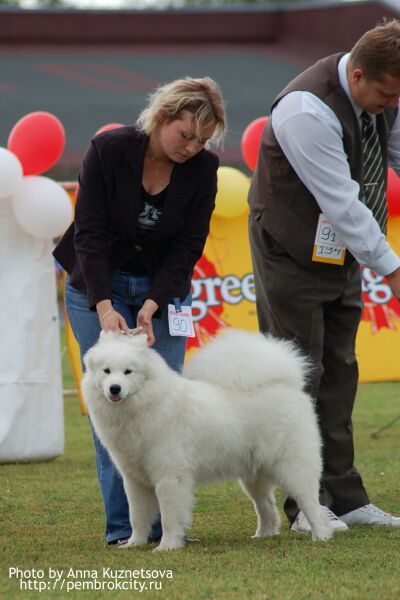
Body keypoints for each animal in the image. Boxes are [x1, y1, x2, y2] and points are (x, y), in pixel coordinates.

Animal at [81, 328, 332, 548]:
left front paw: (167, 546)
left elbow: (169, 518)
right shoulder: (135, 480)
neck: (146, 405)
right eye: (106, 371)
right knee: (267, 507)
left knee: (310, 503)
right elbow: (138, 517)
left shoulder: (171, 477)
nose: (114, 388)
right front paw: (134, 543)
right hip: (254, 476)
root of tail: (286, 384)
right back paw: (263, 535)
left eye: (128, 372)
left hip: (293, 468)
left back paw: (321, 536)